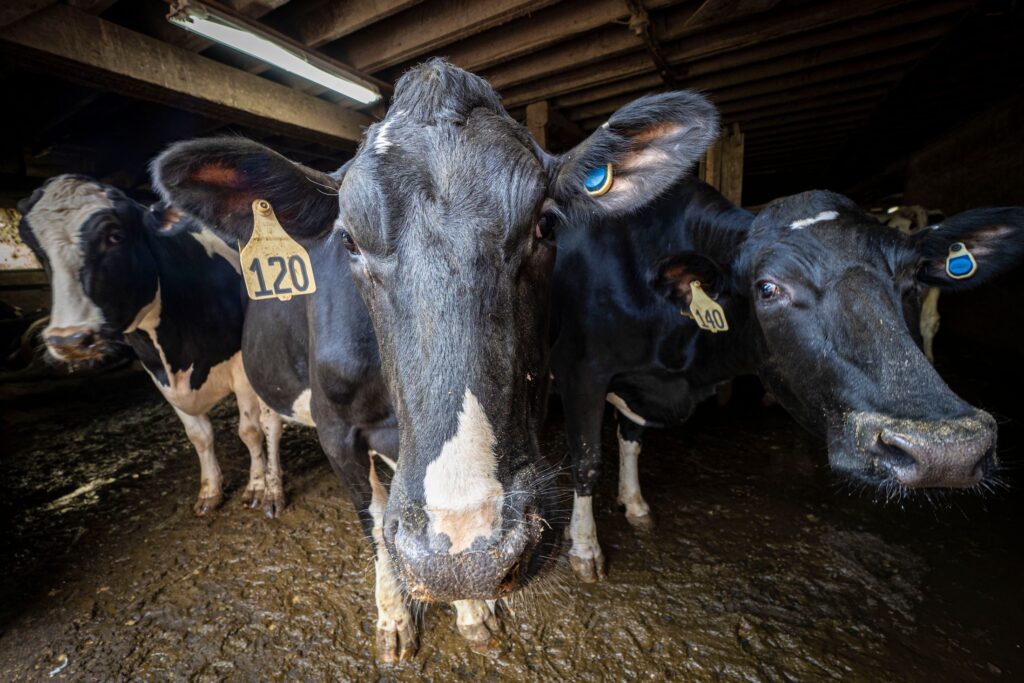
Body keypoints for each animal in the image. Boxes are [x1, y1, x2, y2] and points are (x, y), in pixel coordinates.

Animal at [16, 176, 286, 518]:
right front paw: (210, 491)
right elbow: (199, 436)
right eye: (37, 250)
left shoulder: (241, 366)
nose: (69, 340)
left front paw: (258, 487)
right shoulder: (159, 374)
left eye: (115, 236)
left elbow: (250, 431)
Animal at [552, 169, 1024, 577]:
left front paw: (634, 505)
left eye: (913, 280)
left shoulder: (641, 387)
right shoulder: (584, 374)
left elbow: (631, 440)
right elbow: (587, 461)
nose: (947, 449)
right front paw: (585, 548)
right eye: (767, 287)